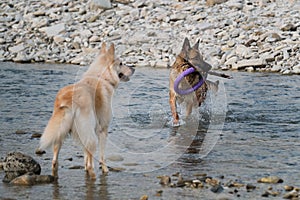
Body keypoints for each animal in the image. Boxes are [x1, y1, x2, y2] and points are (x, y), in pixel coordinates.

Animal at [39, 42, 135, 180]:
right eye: (121, 63)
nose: (134, 69)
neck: (102, 77)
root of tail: (67, 99)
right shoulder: (102, 129)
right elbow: (101, 156)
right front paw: (105, 170)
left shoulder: (86, 132)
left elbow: (85, 155)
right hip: (89, 135)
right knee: (91, 164)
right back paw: (93, 176)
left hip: (60, 134)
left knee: (54, 162)